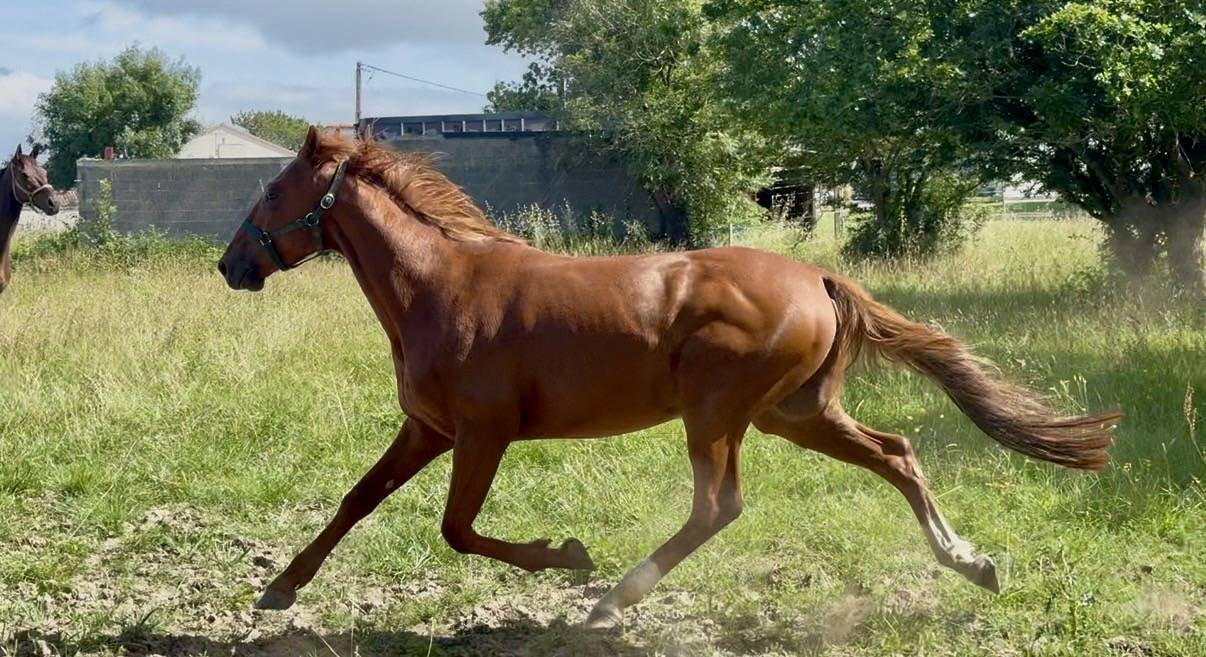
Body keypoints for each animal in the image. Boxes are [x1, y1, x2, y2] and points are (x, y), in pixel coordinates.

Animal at [217, 127, 1119, 628]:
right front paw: (279, 589)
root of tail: (818, 277)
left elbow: (457, 528)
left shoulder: (483, 430)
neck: (443, 286)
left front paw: (569, 554)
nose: (230, 264)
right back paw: (972, 561)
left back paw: (610, 598)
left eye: (274, 190)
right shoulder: (428, 427)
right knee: (896, 452)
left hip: (719, 412)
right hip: (794, 413)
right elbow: (357, 498)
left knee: (718, 505)